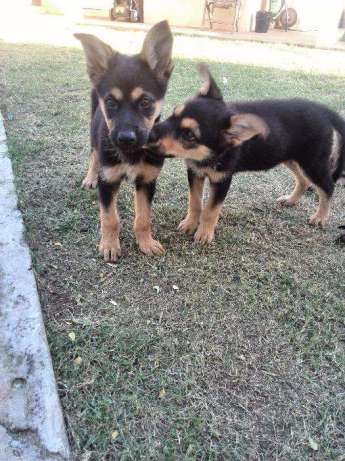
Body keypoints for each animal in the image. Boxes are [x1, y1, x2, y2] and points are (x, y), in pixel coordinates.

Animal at [74, 21, 172, 260]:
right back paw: (89, 177)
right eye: (110, 102)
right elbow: (109, 218)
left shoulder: (147, 181)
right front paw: (109, 245)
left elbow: (143, 218)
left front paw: (146, 243)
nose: (126, 139)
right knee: (93, 156)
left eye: (145, 102)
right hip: (94, 134)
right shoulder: (108, 181)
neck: (131, 154)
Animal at [149, 65, 344, 244]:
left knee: (327, 186)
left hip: (313, 162)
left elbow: (211, 210)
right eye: (173, 113)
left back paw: (320, 217)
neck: (210, 155)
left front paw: (204, 234)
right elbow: (195, 202)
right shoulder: (195, 173)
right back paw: (290, 200)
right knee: (303, 181)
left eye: (189, 135)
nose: (149, 135)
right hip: (291, 157)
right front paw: (189, 224)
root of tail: (323, 111)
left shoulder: (222, 180)